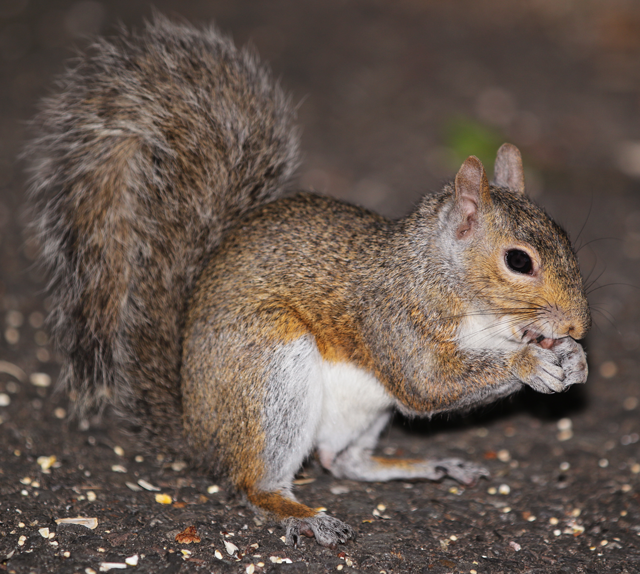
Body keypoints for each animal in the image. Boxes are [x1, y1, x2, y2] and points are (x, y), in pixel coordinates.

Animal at [26, 16, 592, 548]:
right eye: (518, 261)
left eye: (565, 235)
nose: (578, 326)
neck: (448, 283)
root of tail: (199, 433)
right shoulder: (392, 318)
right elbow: (427, 384)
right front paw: (530, 362)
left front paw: (570, 358)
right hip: (270, 374)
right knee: (257, 483)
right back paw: (302, 514)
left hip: (360, 414)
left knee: (341, 461)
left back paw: (429, 465)